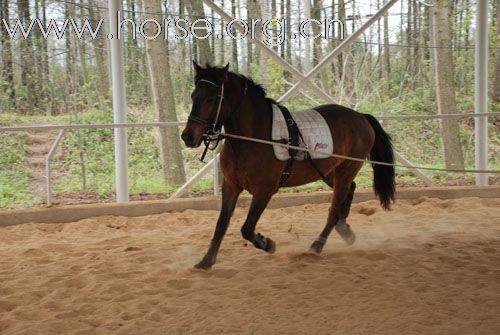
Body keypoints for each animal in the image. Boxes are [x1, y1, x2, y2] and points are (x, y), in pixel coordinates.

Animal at [182, 61, 396, 270]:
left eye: (211, 99)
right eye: (193, 96)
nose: (188, 136)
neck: (252, 139)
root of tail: (360, 116)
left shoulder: (265, 190)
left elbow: (247, 228)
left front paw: (267, 243)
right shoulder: (230, 185)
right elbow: (221, 225)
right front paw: (206, 261)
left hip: (346, 169)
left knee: (335, 208)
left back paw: (318, 244)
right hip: (329, 172)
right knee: (350, 189)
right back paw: (344, 230)